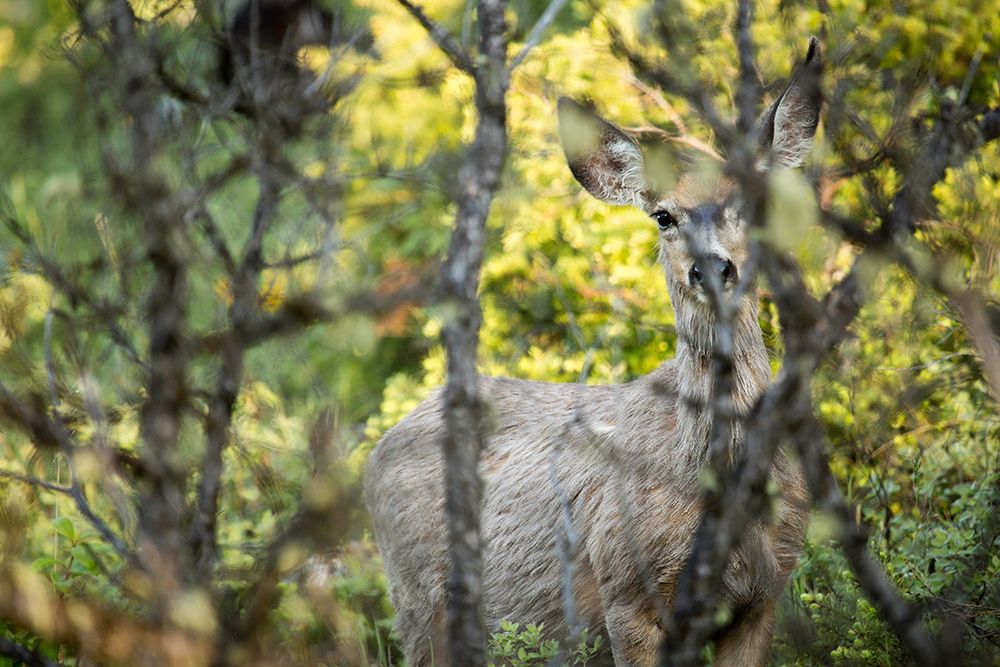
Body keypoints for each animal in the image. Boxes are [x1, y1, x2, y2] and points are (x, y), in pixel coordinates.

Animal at [365, 38, 822, 667]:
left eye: (752, 206)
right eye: (663, 215)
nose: (712, 267)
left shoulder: (765, 595)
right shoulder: (624, 588)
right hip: (418, 604)